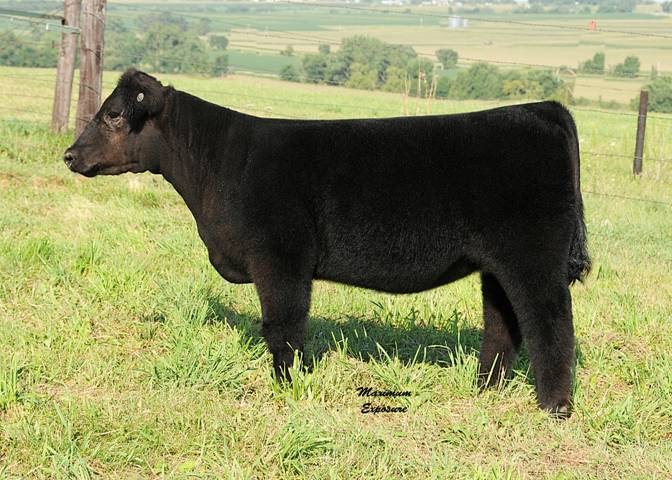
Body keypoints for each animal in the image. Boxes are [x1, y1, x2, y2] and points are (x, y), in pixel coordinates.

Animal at [64, 69, 590, 417]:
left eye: (113, 115)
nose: (69, 155)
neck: (223, 164)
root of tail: (542, 109)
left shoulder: (281, 258)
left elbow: (283, 325)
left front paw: (288, 387)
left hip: (534, 259)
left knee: (550, 324)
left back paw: (555, 407)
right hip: (496, 265)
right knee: (503, 323)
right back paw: (485, 391)